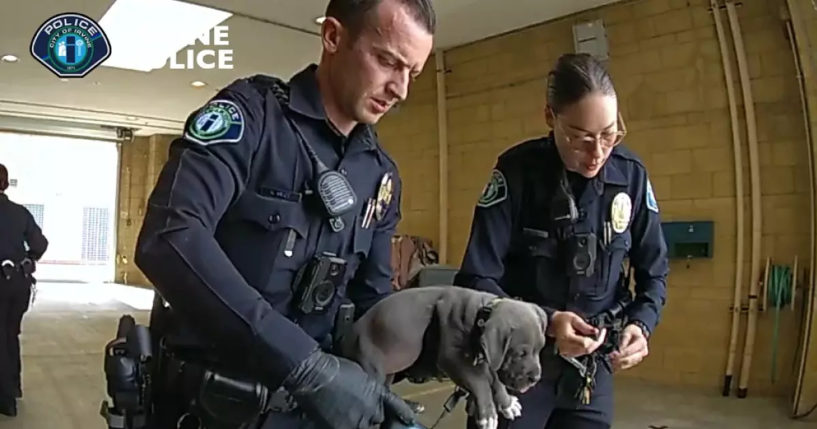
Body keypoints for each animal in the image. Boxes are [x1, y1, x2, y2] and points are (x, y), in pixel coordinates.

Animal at [338, 284, 548, 428]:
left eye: (540, 349)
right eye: (520, 353)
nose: (536, 378)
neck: (482, 314)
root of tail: (347, 338)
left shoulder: (487, 358)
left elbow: (495, 379)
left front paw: (507, 403)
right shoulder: (452, 359)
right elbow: (480, 383)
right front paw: (488, 414)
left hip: (391, 367)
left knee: (386, 387)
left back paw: (408, 406)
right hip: (371, 363)